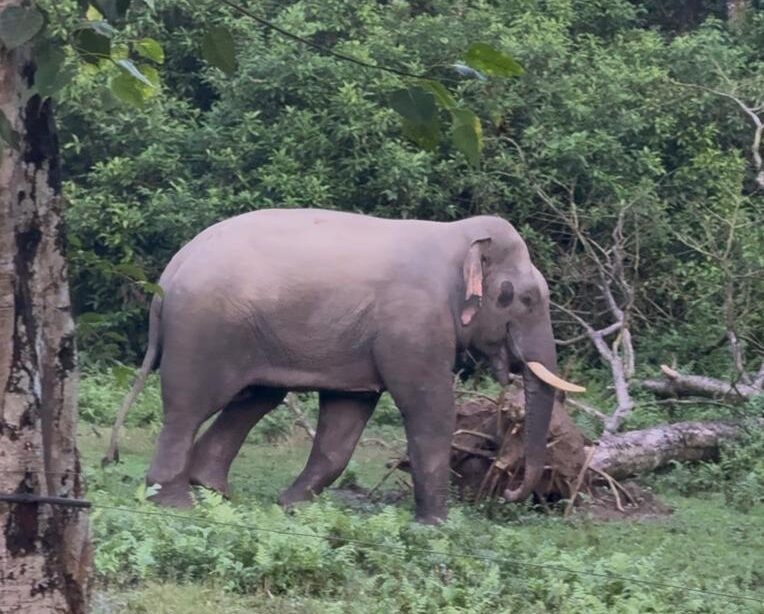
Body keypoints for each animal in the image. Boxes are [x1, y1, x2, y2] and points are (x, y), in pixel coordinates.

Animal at [104, 208, 584, 524]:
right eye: (524, 298)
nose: (510, 492)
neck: (457, 238)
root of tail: (169, 272)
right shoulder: (413, 324)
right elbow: (428, 408)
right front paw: (435, 526)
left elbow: (346, 419)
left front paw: (291, 506)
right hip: (206, 331)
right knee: (189, 407)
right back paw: (175, 504)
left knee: (257, 397)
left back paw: (213, 490)